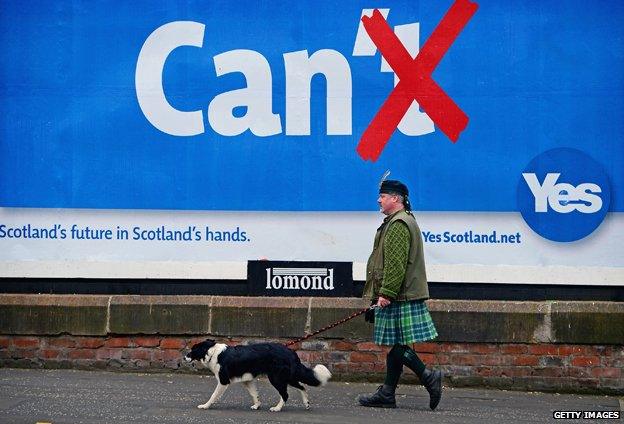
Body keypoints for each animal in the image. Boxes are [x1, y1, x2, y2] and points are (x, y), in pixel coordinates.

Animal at [184, 340, 332, 412]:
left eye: (192, 350)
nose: (184, 357)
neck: (213, 352)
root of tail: (291, 352)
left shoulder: (223, 381)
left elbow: (213, 395)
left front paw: (205, 406)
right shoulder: (248, 380)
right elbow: (254, 394)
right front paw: (257, 406)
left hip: (276, 378)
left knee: (286, 394)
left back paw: (277, 408)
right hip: (288, 377)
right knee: (302, 387)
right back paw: (306, 404)